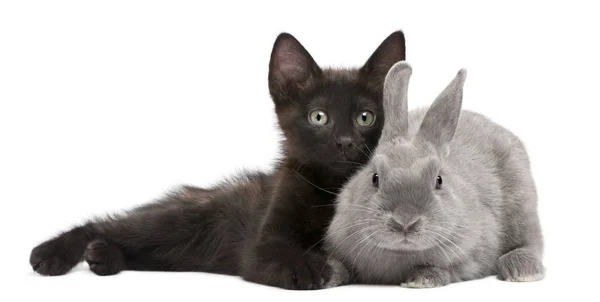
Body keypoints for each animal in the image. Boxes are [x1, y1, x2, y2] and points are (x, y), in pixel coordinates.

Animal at [27, 31, 404, 290]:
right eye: (319, 117)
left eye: (366, 117)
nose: (345, 142)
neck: (330, 187)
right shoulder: (260, 247)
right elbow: (275, 254)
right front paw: (307, 266)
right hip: (179, 218)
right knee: (108, 225)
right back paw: (54, 253)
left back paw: (103, 256)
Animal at [326, 62, 548, 288]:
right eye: (375, 178)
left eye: (439, 181)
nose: (405, 221)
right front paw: (329, 274)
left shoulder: (473, 256)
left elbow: (447, 269)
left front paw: (422, 279)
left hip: (522, 206)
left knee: (531, 241)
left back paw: (522, 269)